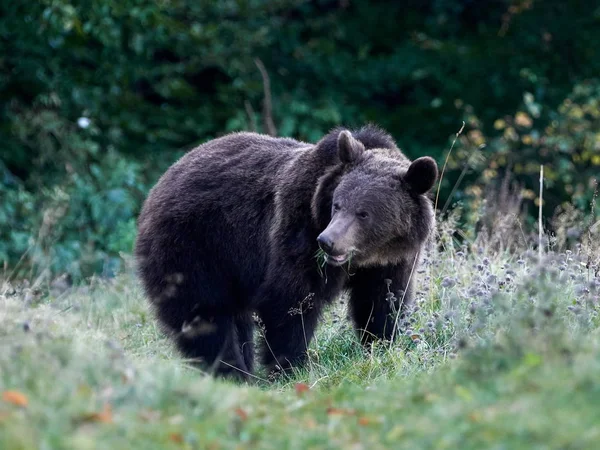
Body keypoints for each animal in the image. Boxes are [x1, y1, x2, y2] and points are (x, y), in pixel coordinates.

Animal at [135, 125, 436, 380]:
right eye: (337, 205)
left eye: (363, 213)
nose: (327, 241)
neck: (368, 255)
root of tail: (163, 180)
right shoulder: (296, 233)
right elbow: (290, 302)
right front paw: (290, 366)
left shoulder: (391, 263)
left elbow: (383, 302)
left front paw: (380, 345)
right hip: (195, 247)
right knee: (204, 314)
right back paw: (231, 372)